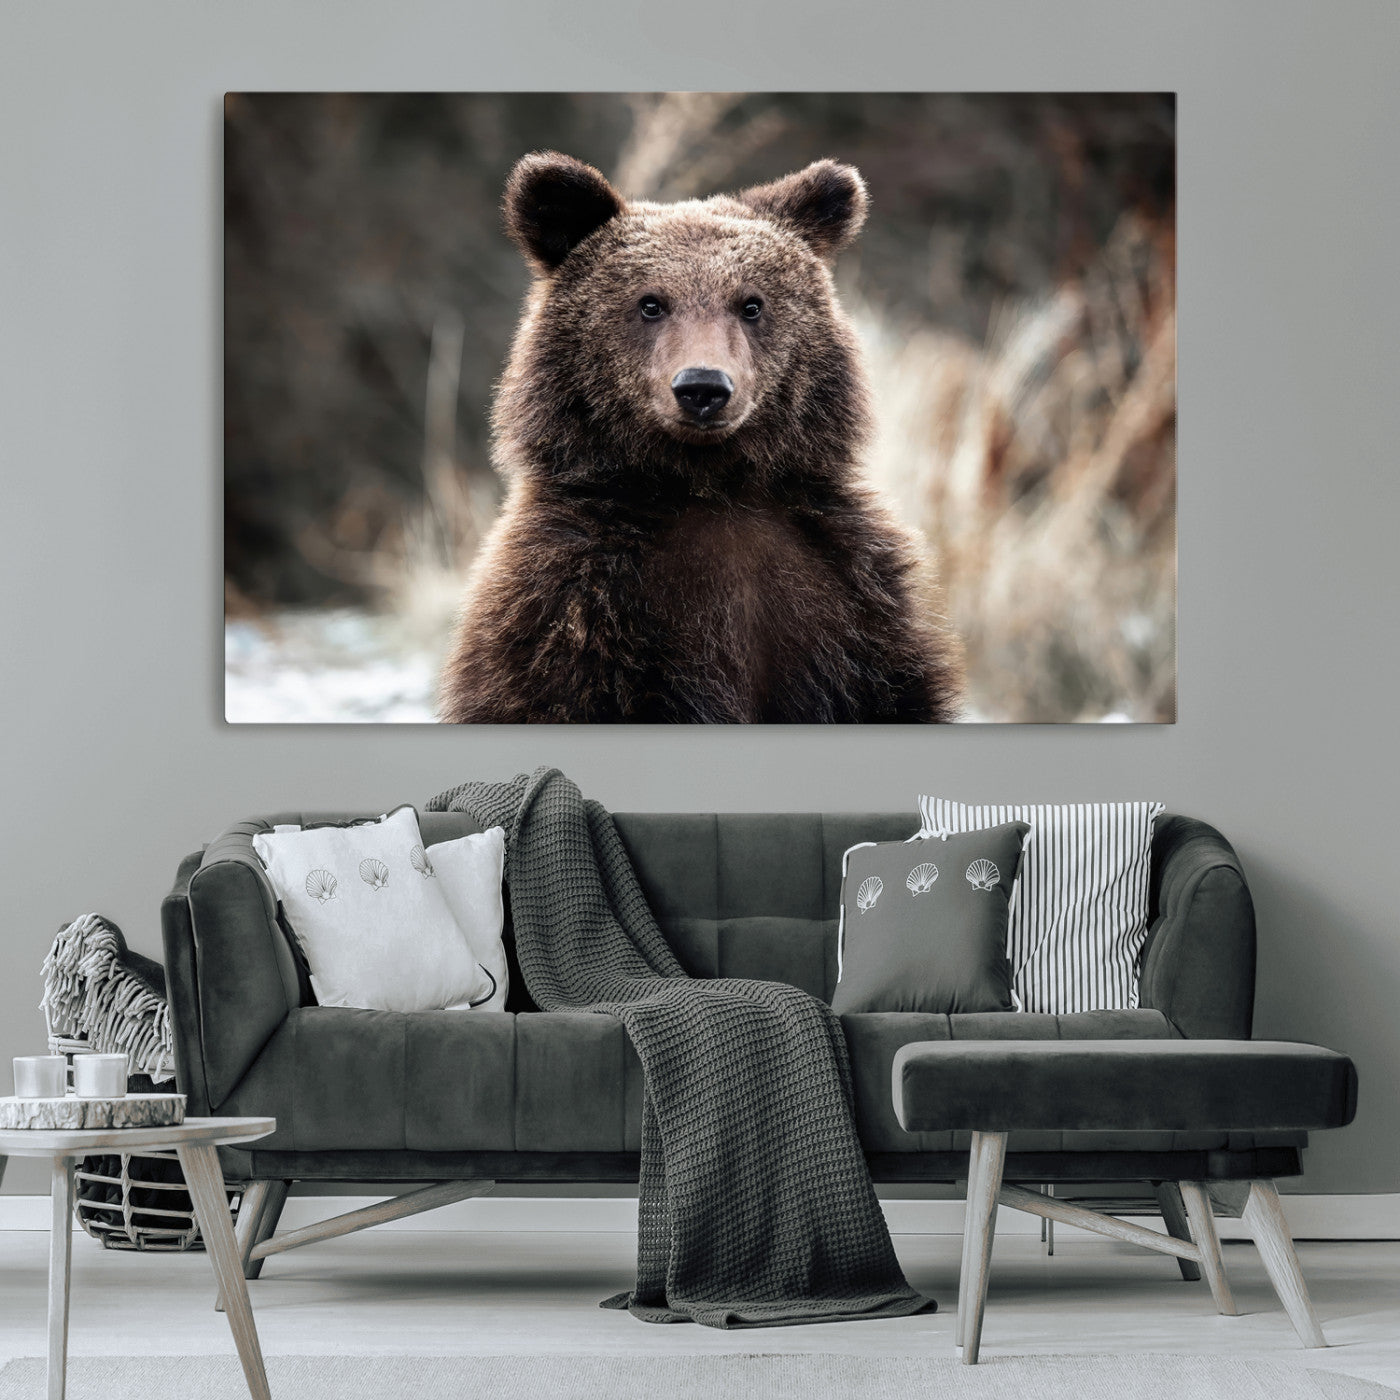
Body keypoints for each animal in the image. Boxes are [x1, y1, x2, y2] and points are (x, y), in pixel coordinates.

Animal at [438, 151, 963, 723]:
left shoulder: (851, 603)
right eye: (650, 303)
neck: (708, 485)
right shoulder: (572, 608)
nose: (703, 387)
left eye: (752, 304)